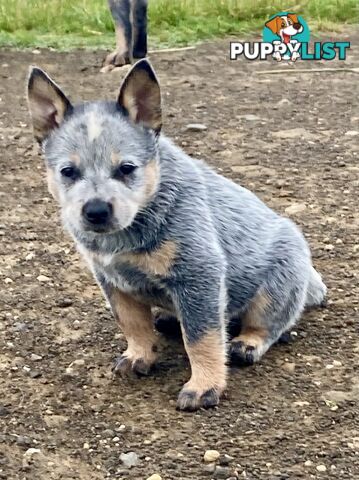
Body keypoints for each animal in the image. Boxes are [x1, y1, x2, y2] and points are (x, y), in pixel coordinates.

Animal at [26, 60, 328, 410]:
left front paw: (204, 387)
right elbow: (132, 323)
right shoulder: (111, 279)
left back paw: (247, 344)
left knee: (269, 322)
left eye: (127, 168)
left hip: (280, 279)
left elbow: (201, 338)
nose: (96, 210)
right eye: (68, 171)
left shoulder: (199, 272)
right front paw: (138, 356)